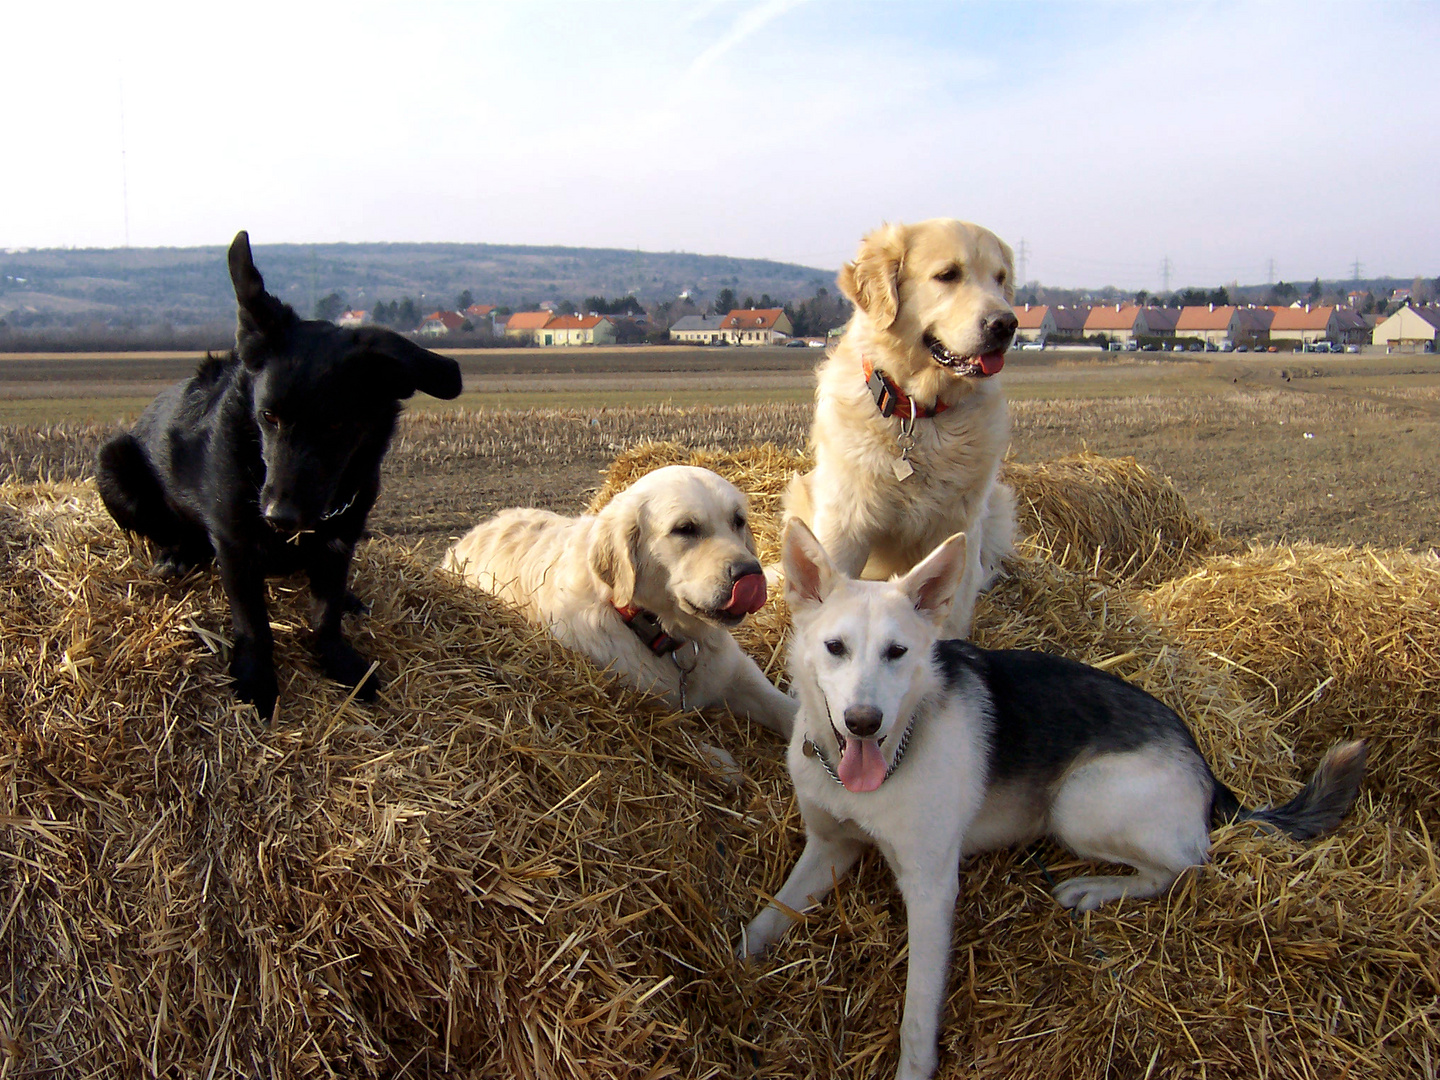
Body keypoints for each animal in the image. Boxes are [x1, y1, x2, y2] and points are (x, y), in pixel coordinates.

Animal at [94, 231, 460, 720]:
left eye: (337, 426)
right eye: (268, 416)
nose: (278, 516)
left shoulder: (340, 540)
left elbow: (325, 615)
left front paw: (339, 659)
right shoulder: (235, 546)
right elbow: (253, 623)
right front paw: (255, 676)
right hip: (112, 461)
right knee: (174, 533)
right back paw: (177, 556)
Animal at [748, 521, 1365, 1077]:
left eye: (897, 652)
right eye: (835, 648)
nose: (863, 722)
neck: (882, 761)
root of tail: (1204, 764)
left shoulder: (929, 889)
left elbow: (917, 1014)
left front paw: (914, 1068)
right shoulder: (829, 847)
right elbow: (767, 916)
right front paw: (739, 962)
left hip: (1077, 803)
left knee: (1188, 863)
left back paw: (1095, 888)